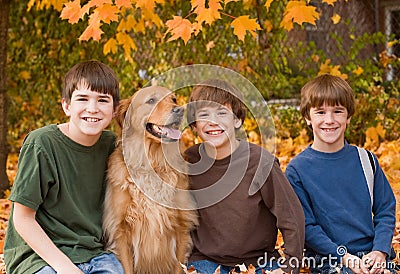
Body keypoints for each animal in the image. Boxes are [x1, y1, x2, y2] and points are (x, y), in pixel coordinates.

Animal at [102, 86, 198, 274]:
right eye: (151, 100)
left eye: (174, 99)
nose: (179, 110)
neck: (153, 162)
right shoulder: (120, 229)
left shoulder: (182, 227)